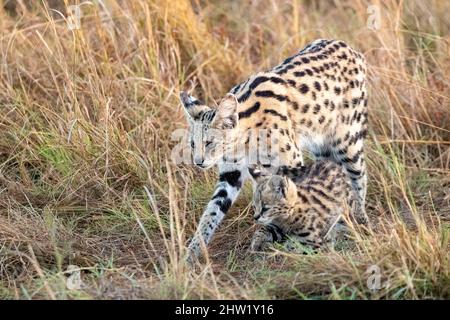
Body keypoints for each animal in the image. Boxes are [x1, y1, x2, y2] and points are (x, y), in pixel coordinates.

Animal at [180, 38, 370, 262]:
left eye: (210, 142)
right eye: (193, 144)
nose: (198, 162)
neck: (245, 143)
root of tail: (349, 47)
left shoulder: (292, 160)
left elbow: (293, 198)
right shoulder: (231, 174)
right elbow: (211, 213)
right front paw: (191, 252)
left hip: (347, 140)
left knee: (359, 177)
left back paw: (358, 219)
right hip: (322, 148)